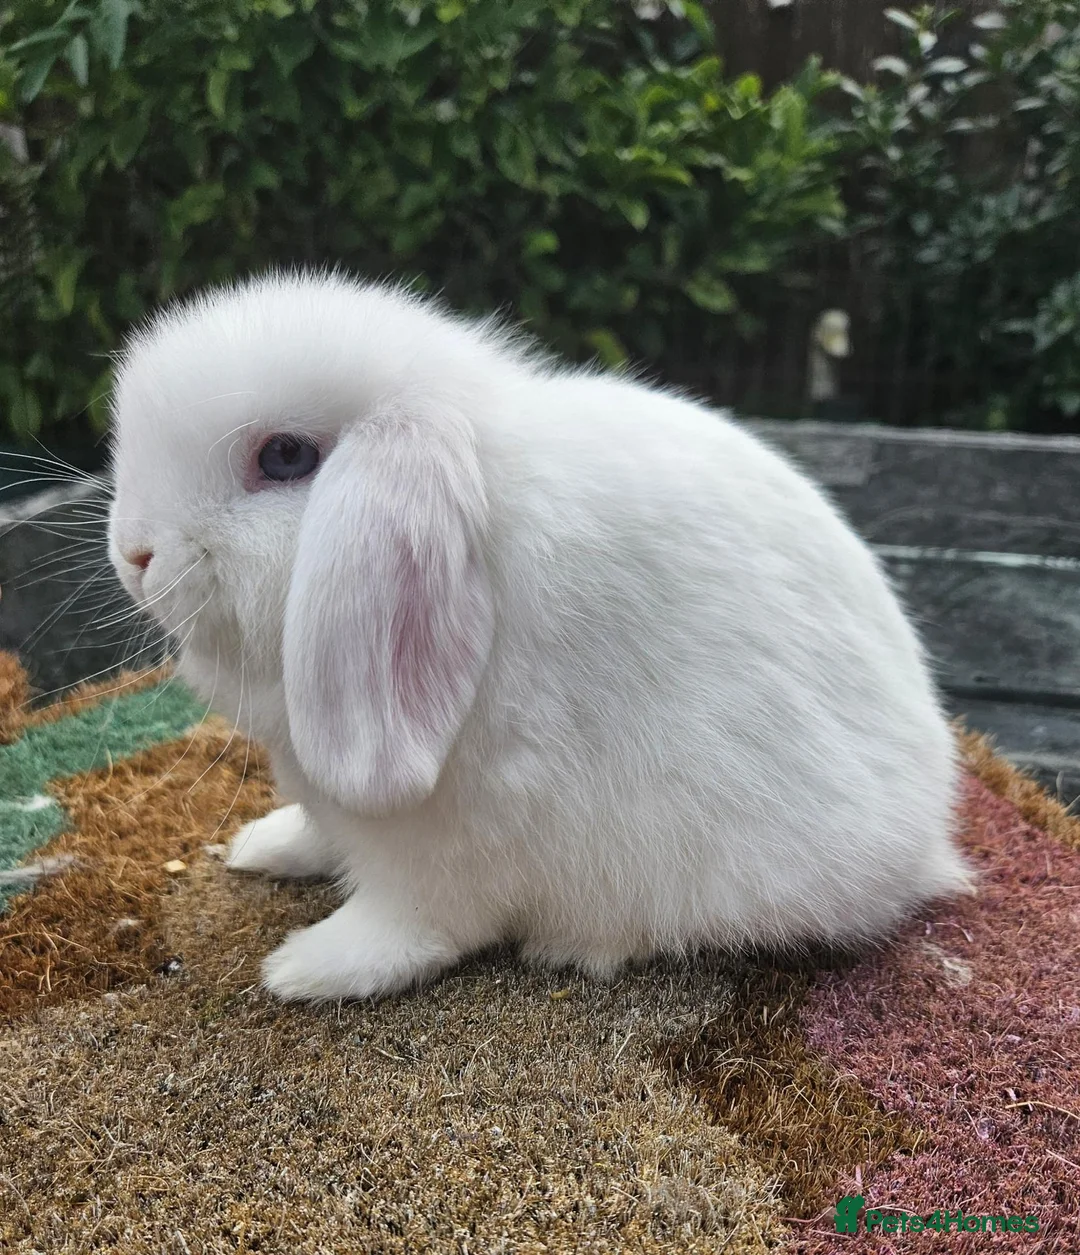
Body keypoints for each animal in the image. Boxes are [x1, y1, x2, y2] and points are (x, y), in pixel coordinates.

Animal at [107, 270, 972, 1003]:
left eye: (285, 456)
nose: (133, 553)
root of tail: (926, 840)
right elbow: (317, 833)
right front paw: (266, 847)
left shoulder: (446, 845)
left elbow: (411, 925)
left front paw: (308, 969)